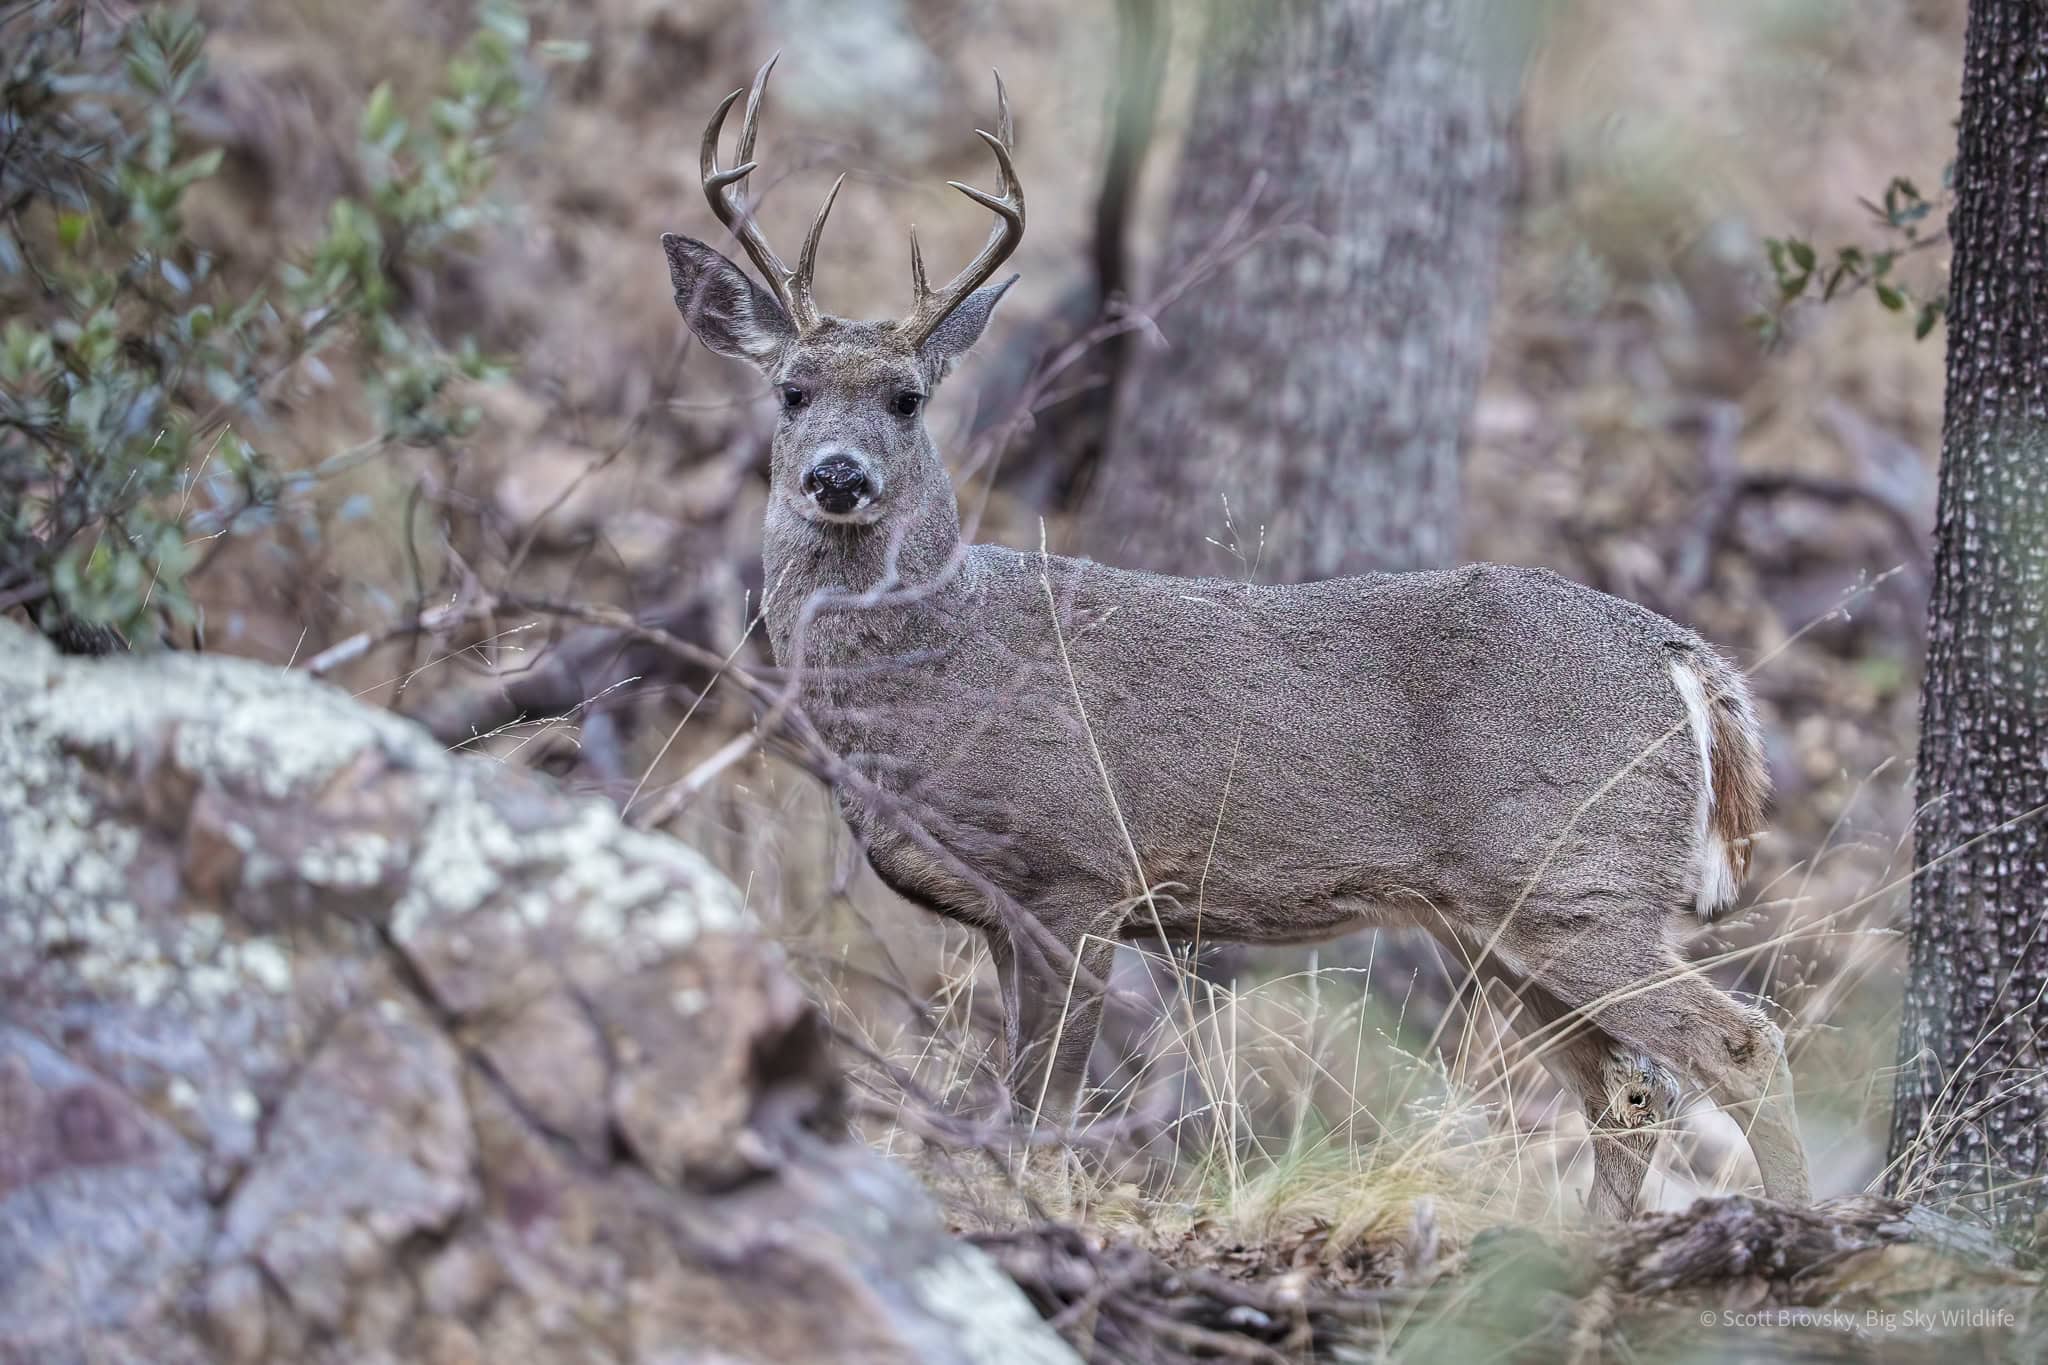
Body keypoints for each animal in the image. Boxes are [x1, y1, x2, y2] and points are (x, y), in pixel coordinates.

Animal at [659, 57, 1812, 1221]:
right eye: (791, 390)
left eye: (905, 398)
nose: (837, 475)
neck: (941, 668)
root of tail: (1683, 659)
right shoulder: (1000, 911)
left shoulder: (1081, 872)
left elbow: (1040, 1104)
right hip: (1492, 920)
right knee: (1629, 1086)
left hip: (1573, 877)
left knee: (1734, 1042)